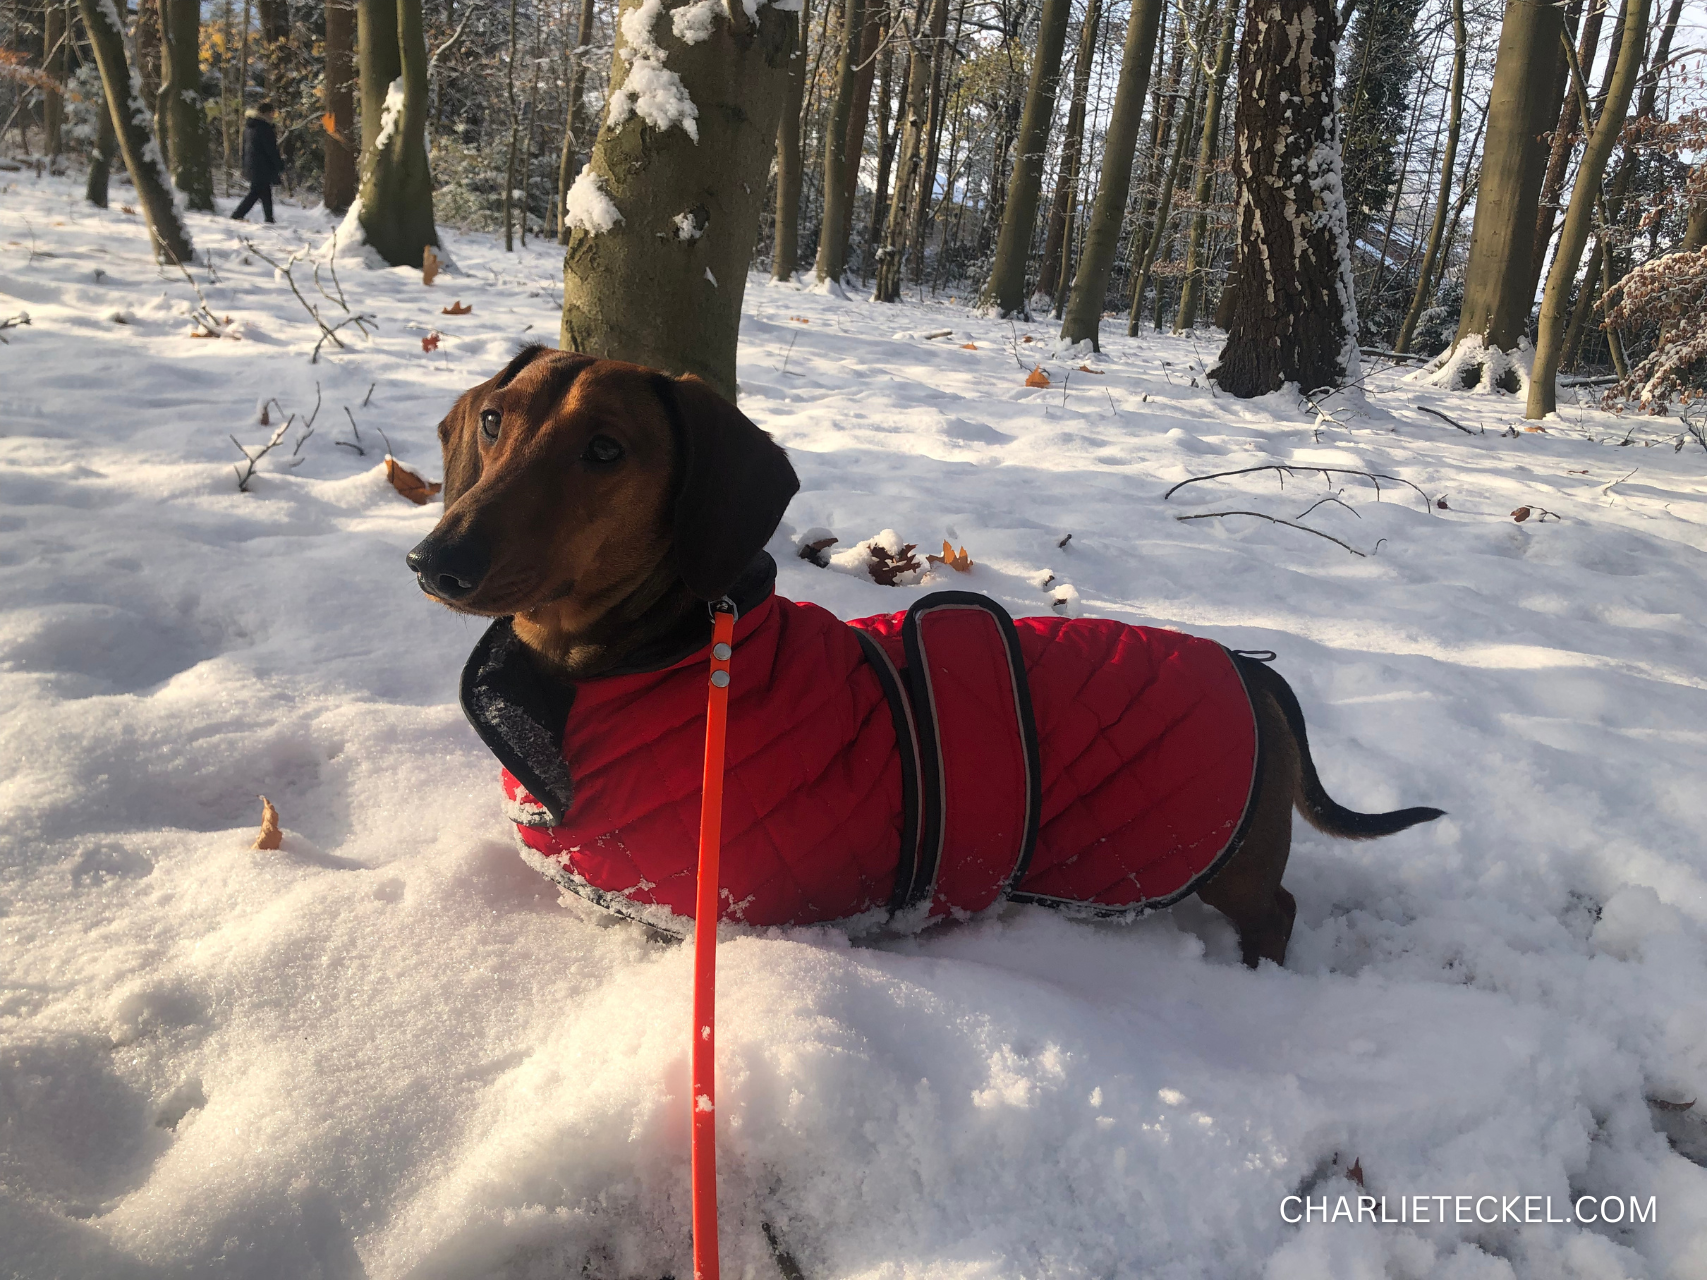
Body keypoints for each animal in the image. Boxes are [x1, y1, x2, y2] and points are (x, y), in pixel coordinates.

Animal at [413, 346, 1440, 969]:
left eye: (605, 449)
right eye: (495, 421)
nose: (435, 559)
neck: (656, 652)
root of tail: (1258, 672)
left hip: (1231, 866)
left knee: (1277, 910)